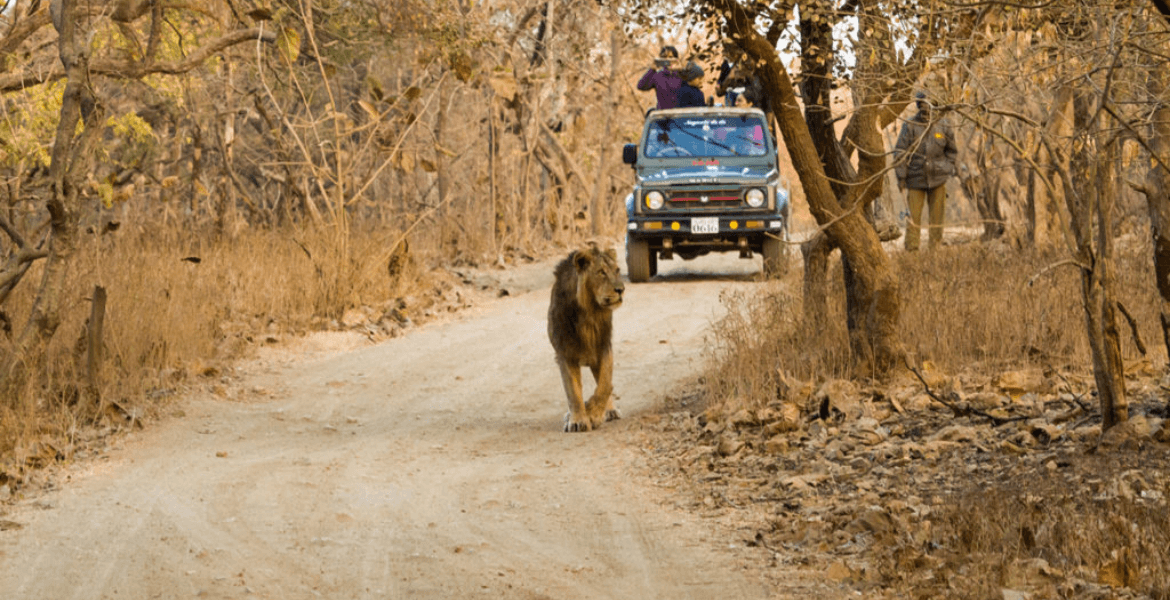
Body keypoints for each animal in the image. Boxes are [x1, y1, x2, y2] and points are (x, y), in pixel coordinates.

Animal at [545, 245, 627, 432]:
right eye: (601, 272)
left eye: (617, 270)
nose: (621, 289)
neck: (590, 312)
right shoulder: (565, 353)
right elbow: (573, 392)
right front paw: (577, 420)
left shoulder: (604, 346)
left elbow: (605, 385)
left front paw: (593, 413)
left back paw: (610, 411)